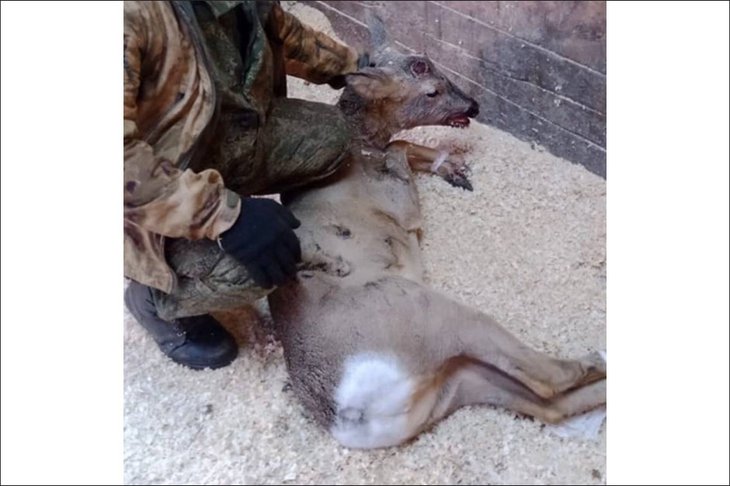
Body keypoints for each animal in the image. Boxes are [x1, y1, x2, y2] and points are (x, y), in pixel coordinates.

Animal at [264, 17, 604, 450]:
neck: (359, 149)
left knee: (550, 405)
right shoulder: (398, 208)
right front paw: (450, 167)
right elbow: (402, 146)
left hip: (454, 384)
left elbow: (403, 145)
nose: (473, 106)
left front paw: (456, 170)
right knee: (549, 381)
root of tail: (353, 417)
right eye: (431, 90)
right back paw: (595, 359)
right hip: (433, 317)